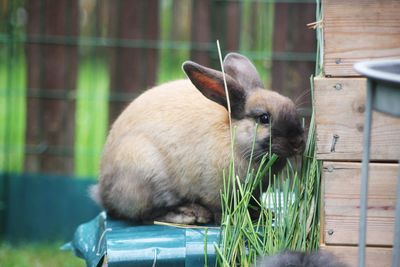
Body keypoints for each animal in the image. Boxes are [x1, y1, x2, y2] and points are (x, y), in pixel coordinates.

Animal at [90, 52, 304, 224]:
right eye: (264, 118)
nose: (298, 142)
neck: (233, 138)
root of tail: (103, 193)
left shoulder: (255, 194)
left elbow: (254, 203)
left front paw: (265, 215)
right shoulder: (214, 191)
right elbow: (220, 209)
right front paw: (229, 220)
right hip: (145, 172)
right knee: (145, 214)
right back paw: (190, 214)